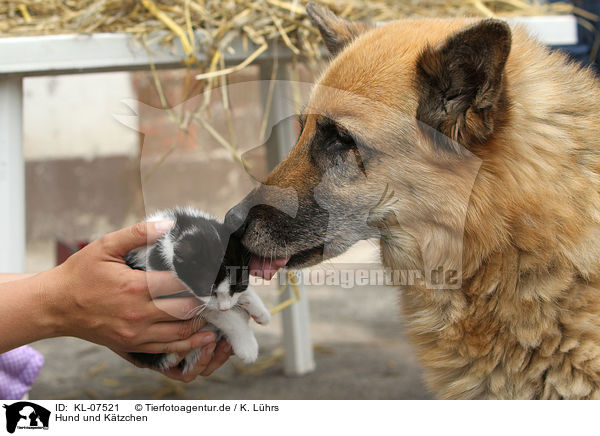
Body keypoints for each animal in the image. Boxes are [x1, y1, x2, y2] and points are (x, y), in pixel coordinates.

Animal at [125, 206, 270, 372]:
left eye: (239, 286)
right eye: (209, 290)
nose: (225, 307)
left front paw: (260, 311)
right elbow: (222, 316)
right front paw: (247, 345)